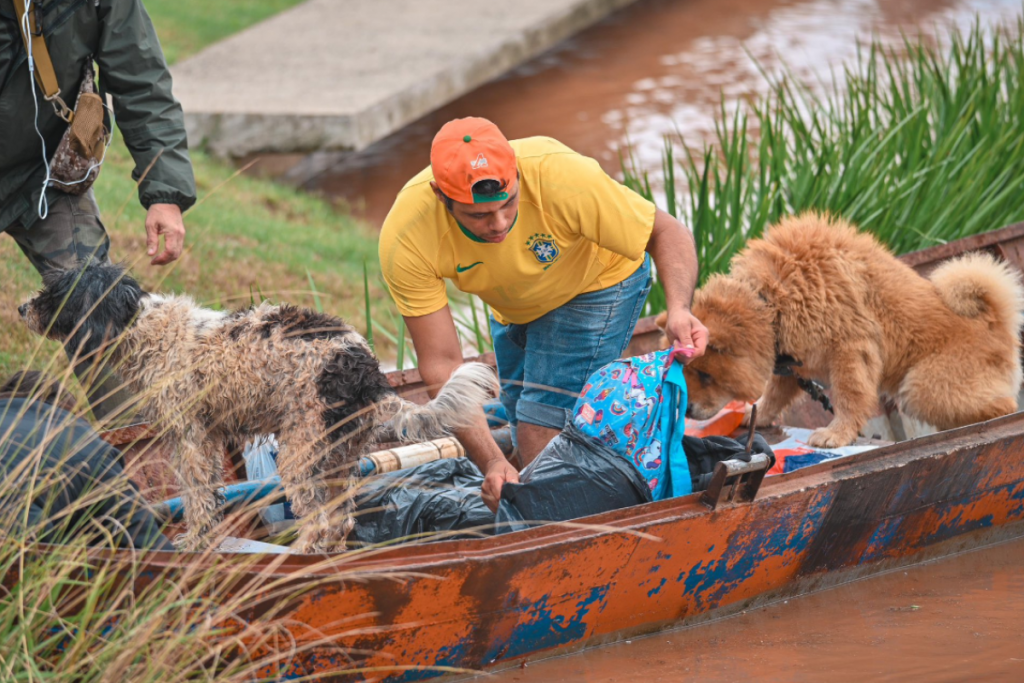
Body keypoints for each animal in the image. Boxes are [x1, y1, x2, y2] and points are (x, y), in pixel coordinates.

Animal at [16, 264, 495, 557]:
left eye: (54, 293)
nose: (20, 307)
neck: (143, 327)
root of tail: (368, 372)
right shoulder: (209, 438)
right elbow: (210, 494)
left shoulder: (189, 438)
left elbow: (196, 497)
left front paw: (194, 542)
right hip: (339, 456)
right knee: (340, 521)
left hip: (302, 452)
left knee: (319, 521)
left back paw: (298, 557)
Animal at [655, 214, 1024, 448]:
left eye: (705, 375)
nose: (687, 411)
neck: (771, 301)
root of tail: (997, 324)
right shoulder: (792, 361)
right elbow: (774, 394)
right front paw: (753, 414)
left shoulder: (850, 348)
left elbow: (849, 397)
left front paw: (835, 435)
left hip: (922, 388)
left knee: (1001, 405)